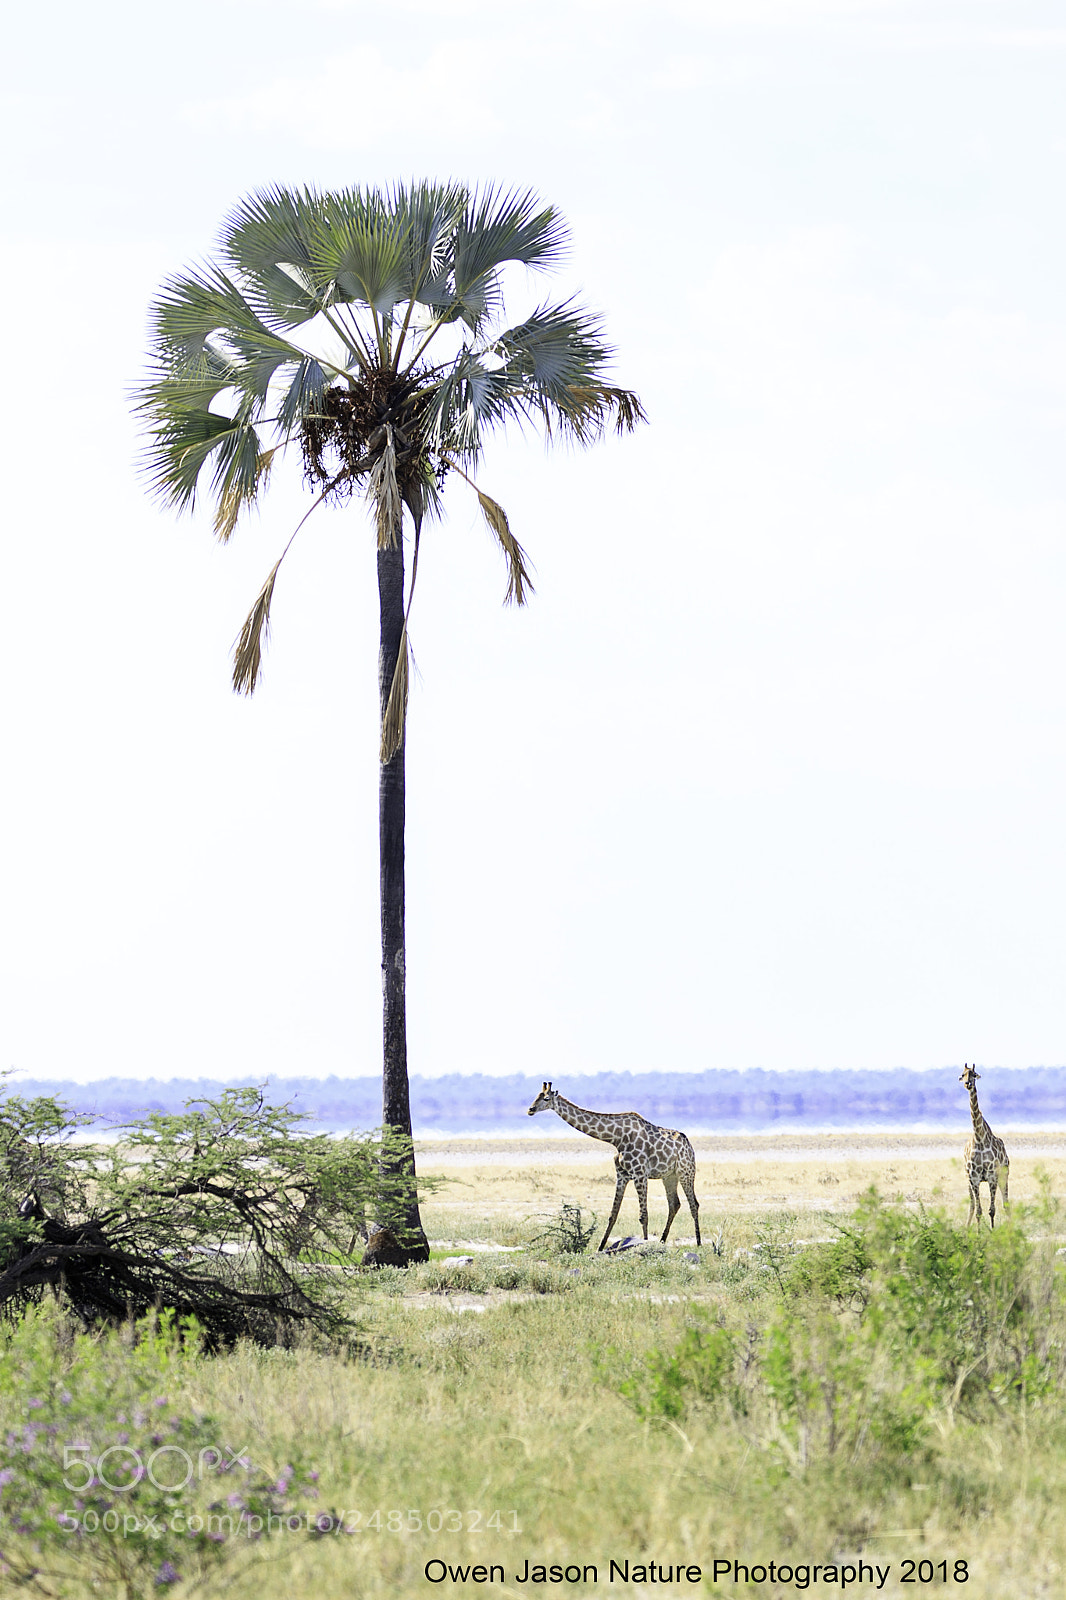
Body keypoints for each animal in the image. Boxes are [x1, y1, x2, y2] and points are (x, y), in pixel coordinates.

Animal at [527, 1082, 701, 1250]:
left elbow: (643, 1215)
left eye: (546, 1098)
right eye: (536, 1096)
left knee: (694, 1204)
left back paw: (698, 1243)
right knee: (674, 1204)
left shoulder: (640, 1174)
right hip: (669, 1176)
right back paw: (663, 1240)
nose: (530, 1110)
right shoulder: (622, 1175)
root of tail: (689, 1145)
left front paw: (644, 1245)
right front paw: (600, 1247)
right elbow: (613, 1214)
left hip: (686, 1171)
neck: (617, 1138)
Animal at [959, 1064, 1009, 1229]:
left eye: (974, 1074)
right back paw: (966, 1228)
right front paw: (978, 1233)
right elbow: (979, 1210)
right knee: (972, 1205)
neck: (980, 1137)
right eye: (962, 1074)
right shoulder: (973, 1178)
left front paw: (993, 1232)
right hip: (968, 1179)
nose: (967, 1084)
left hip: (1004, 1175)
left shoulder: (992, 1176)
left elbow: (991, 1210)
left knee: (1006, 1203)